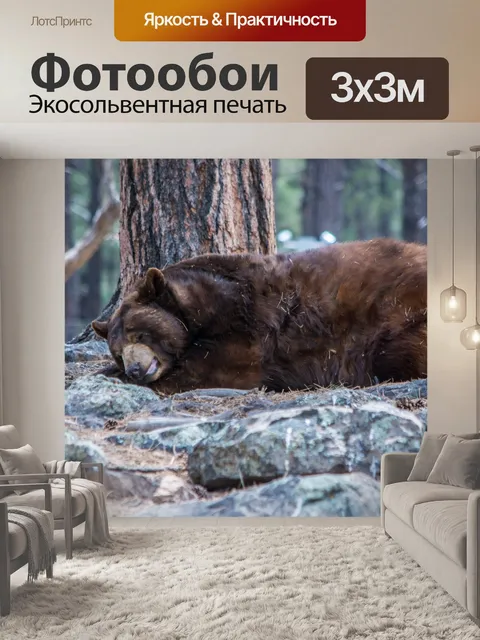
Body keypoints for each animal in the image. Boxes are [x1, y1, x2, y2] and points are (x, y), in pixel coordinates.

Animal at [91, 237, 427, 395]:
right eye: (118, 351)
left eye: (139, 332)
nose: (134, 368)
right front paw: (107, 372)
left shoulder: (246, 325)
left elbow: (212, 369)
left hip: (398, 318)